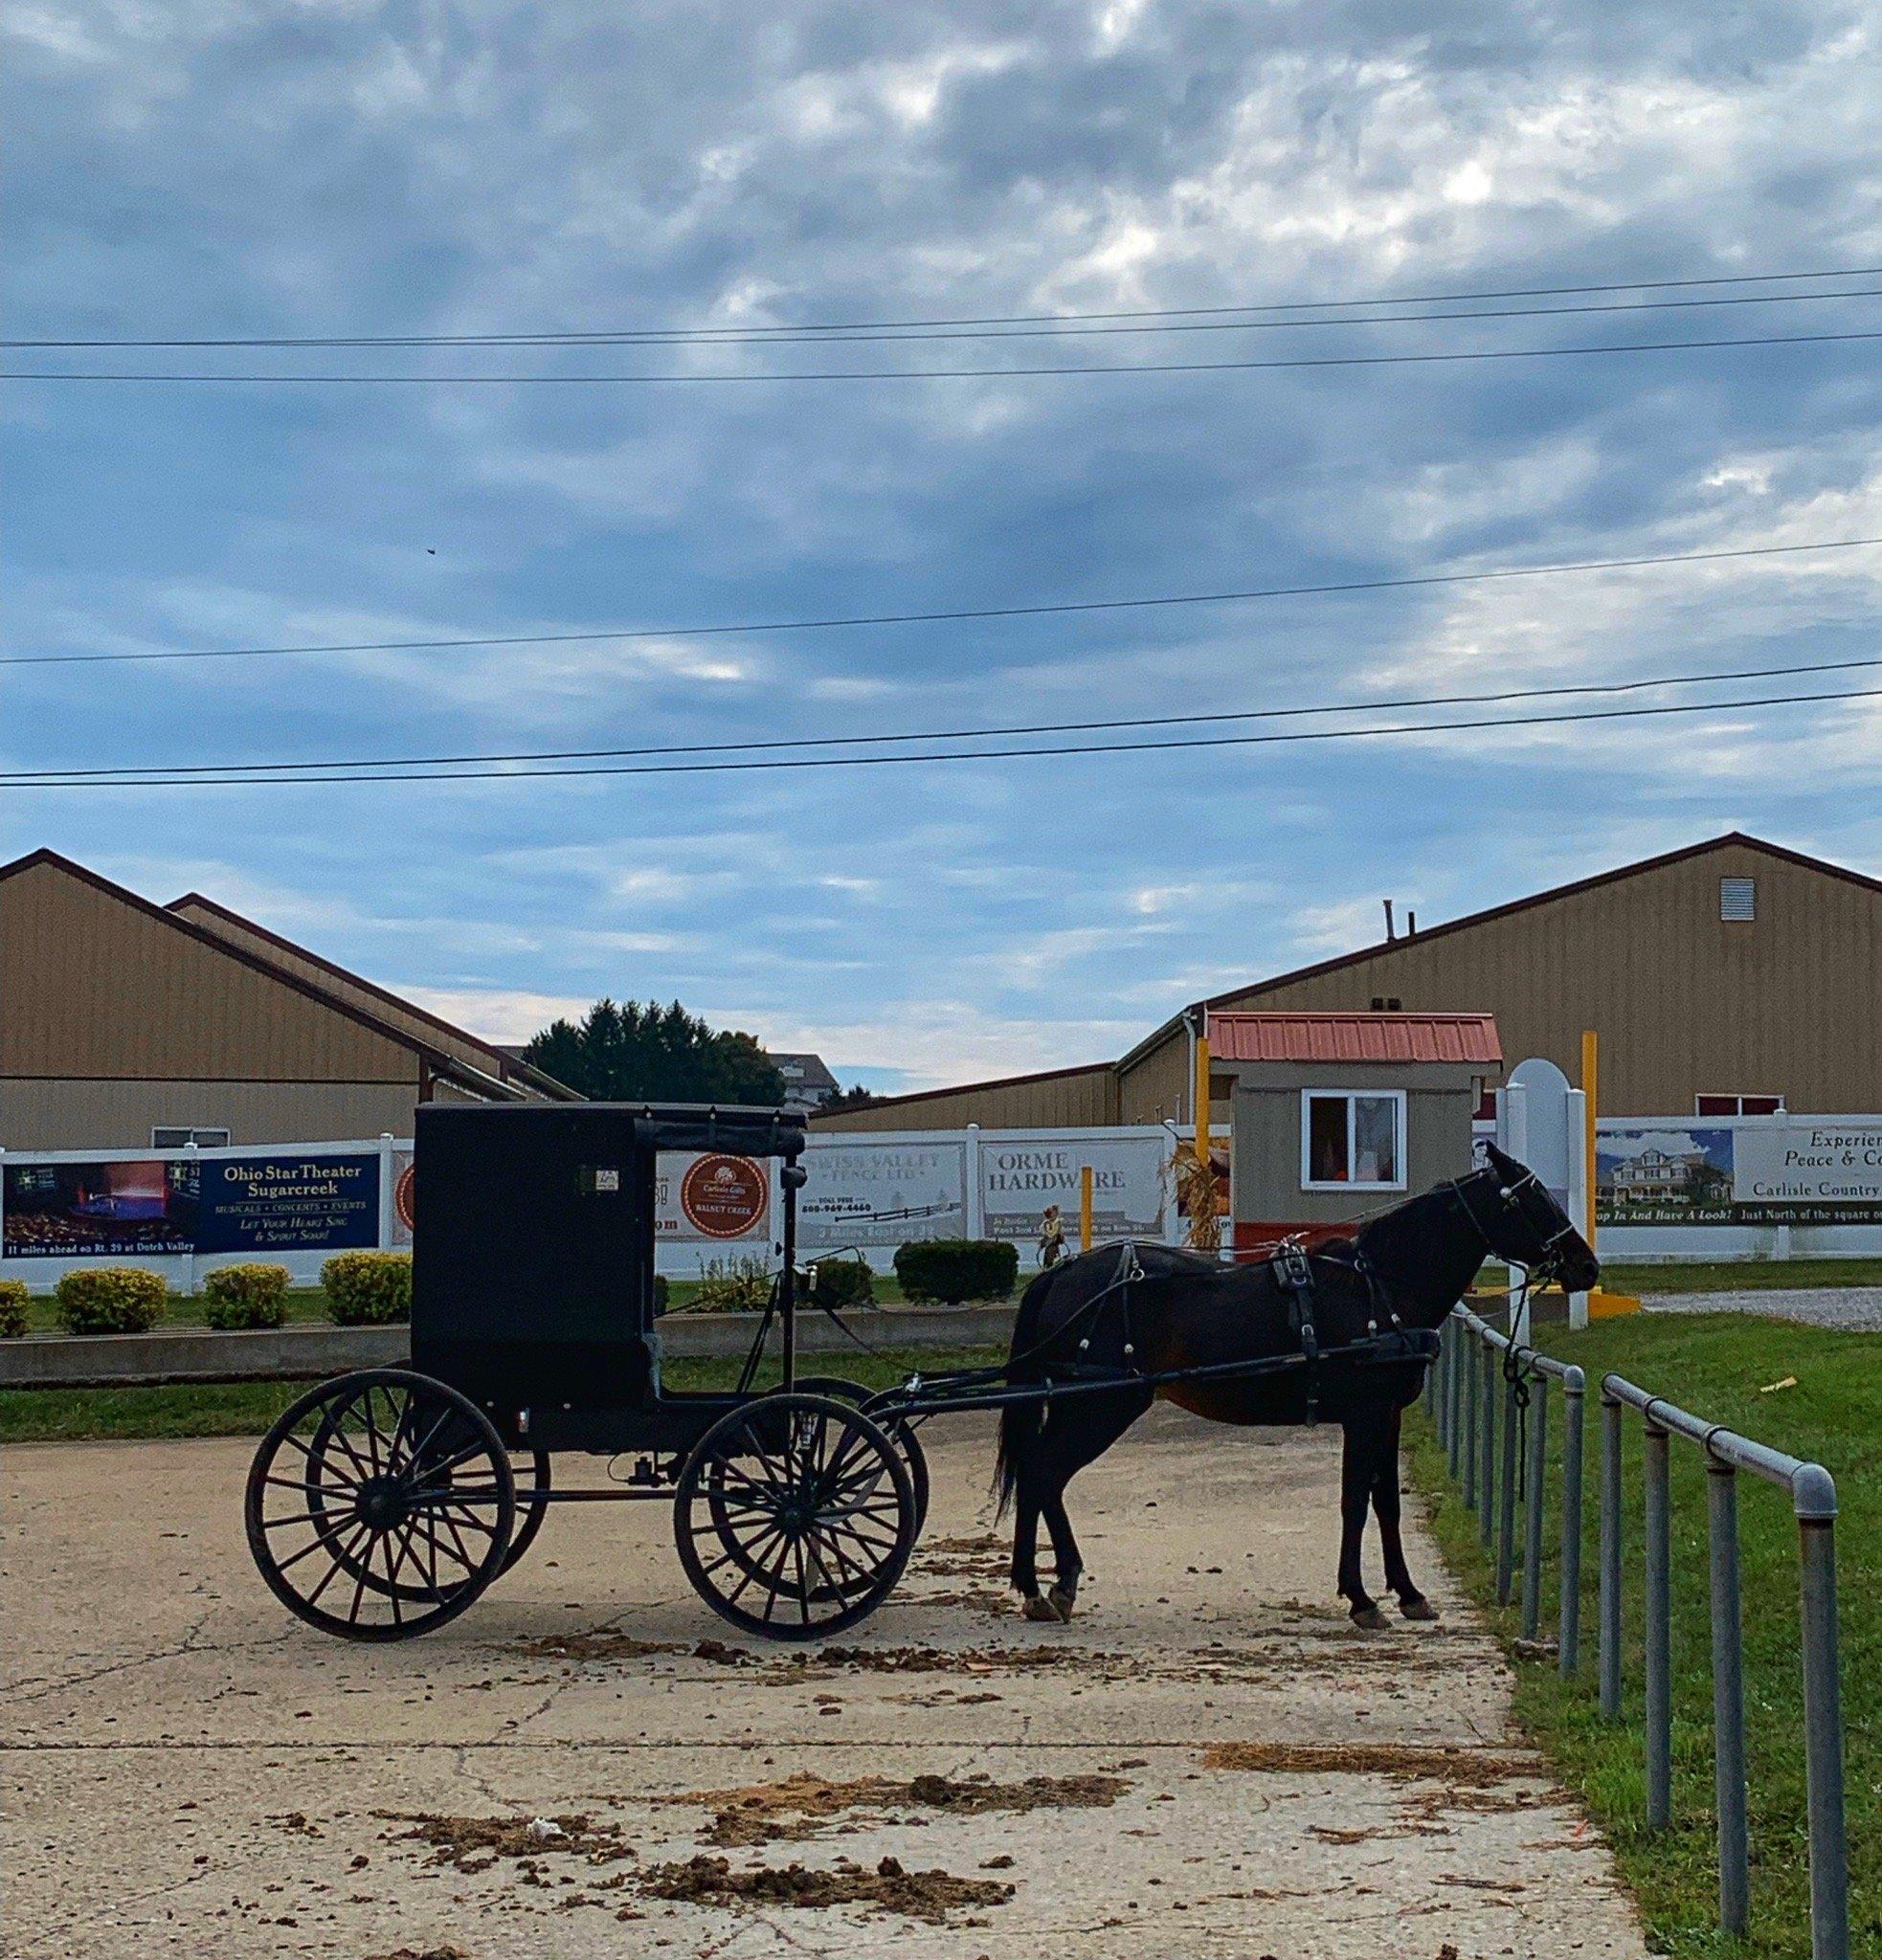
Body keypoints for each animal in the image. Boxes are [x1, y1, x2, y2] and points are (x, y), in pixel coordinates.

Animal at [992, 1145, 1591, 1622]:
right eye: (1531, 1199)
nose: (1585, 1265)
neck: (1377, 1287)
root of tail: (1062, 1272)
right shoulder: (1365, 1414)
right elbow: (1355, 1501)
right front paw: (1361, 1598)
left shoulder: (1387, 1415)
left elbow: (1386, 1502)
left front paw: (1407, 1592)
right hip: (1100, 1407)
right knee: (1044, 1473)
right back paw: (1053, 1582)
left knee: (1038, 1474)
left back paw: (1036, 1585)